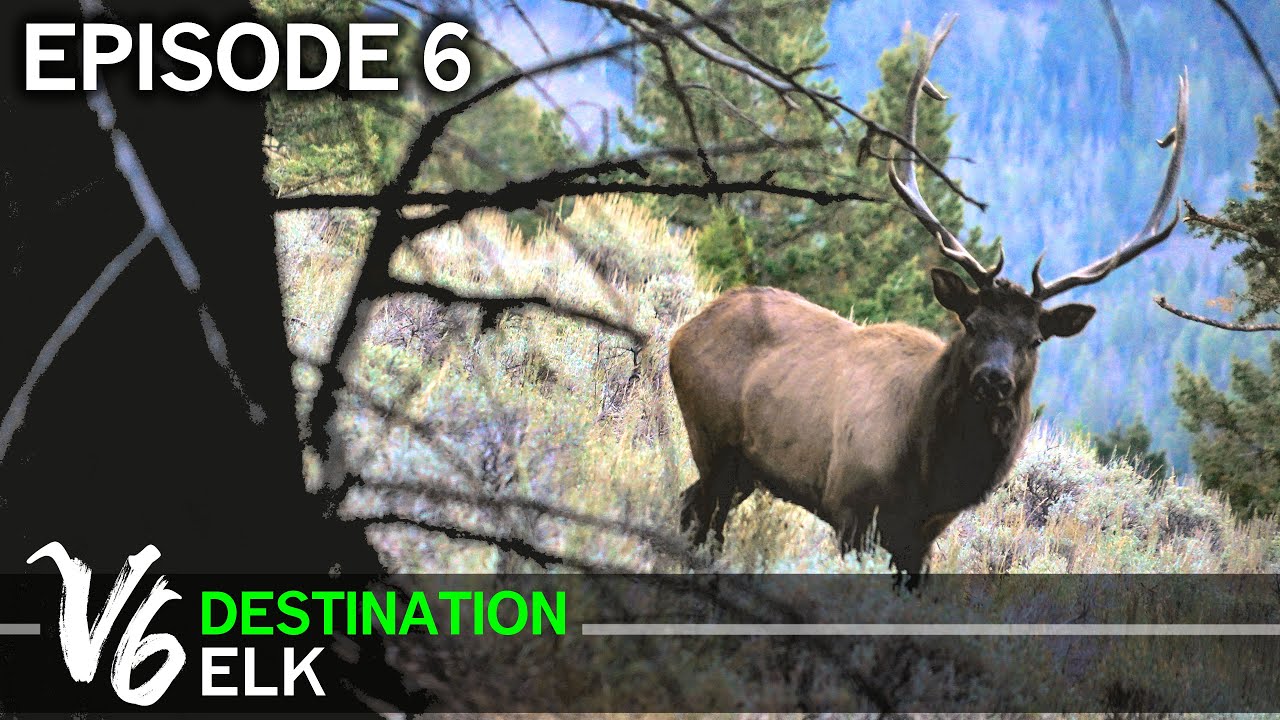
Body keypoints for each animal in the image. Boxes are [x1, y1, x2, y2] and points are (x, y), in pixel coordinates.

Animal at [667, 15, 1188, 587]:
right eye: (971, 323)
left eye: (1034, 339)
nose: (994, 379)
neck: (927, 473)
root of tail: (682, 333)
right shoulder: (851, 507)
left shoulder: (924, 536)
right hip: (711, 440)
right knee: (701, 516)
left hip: (743, 468)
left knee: (692, 510)